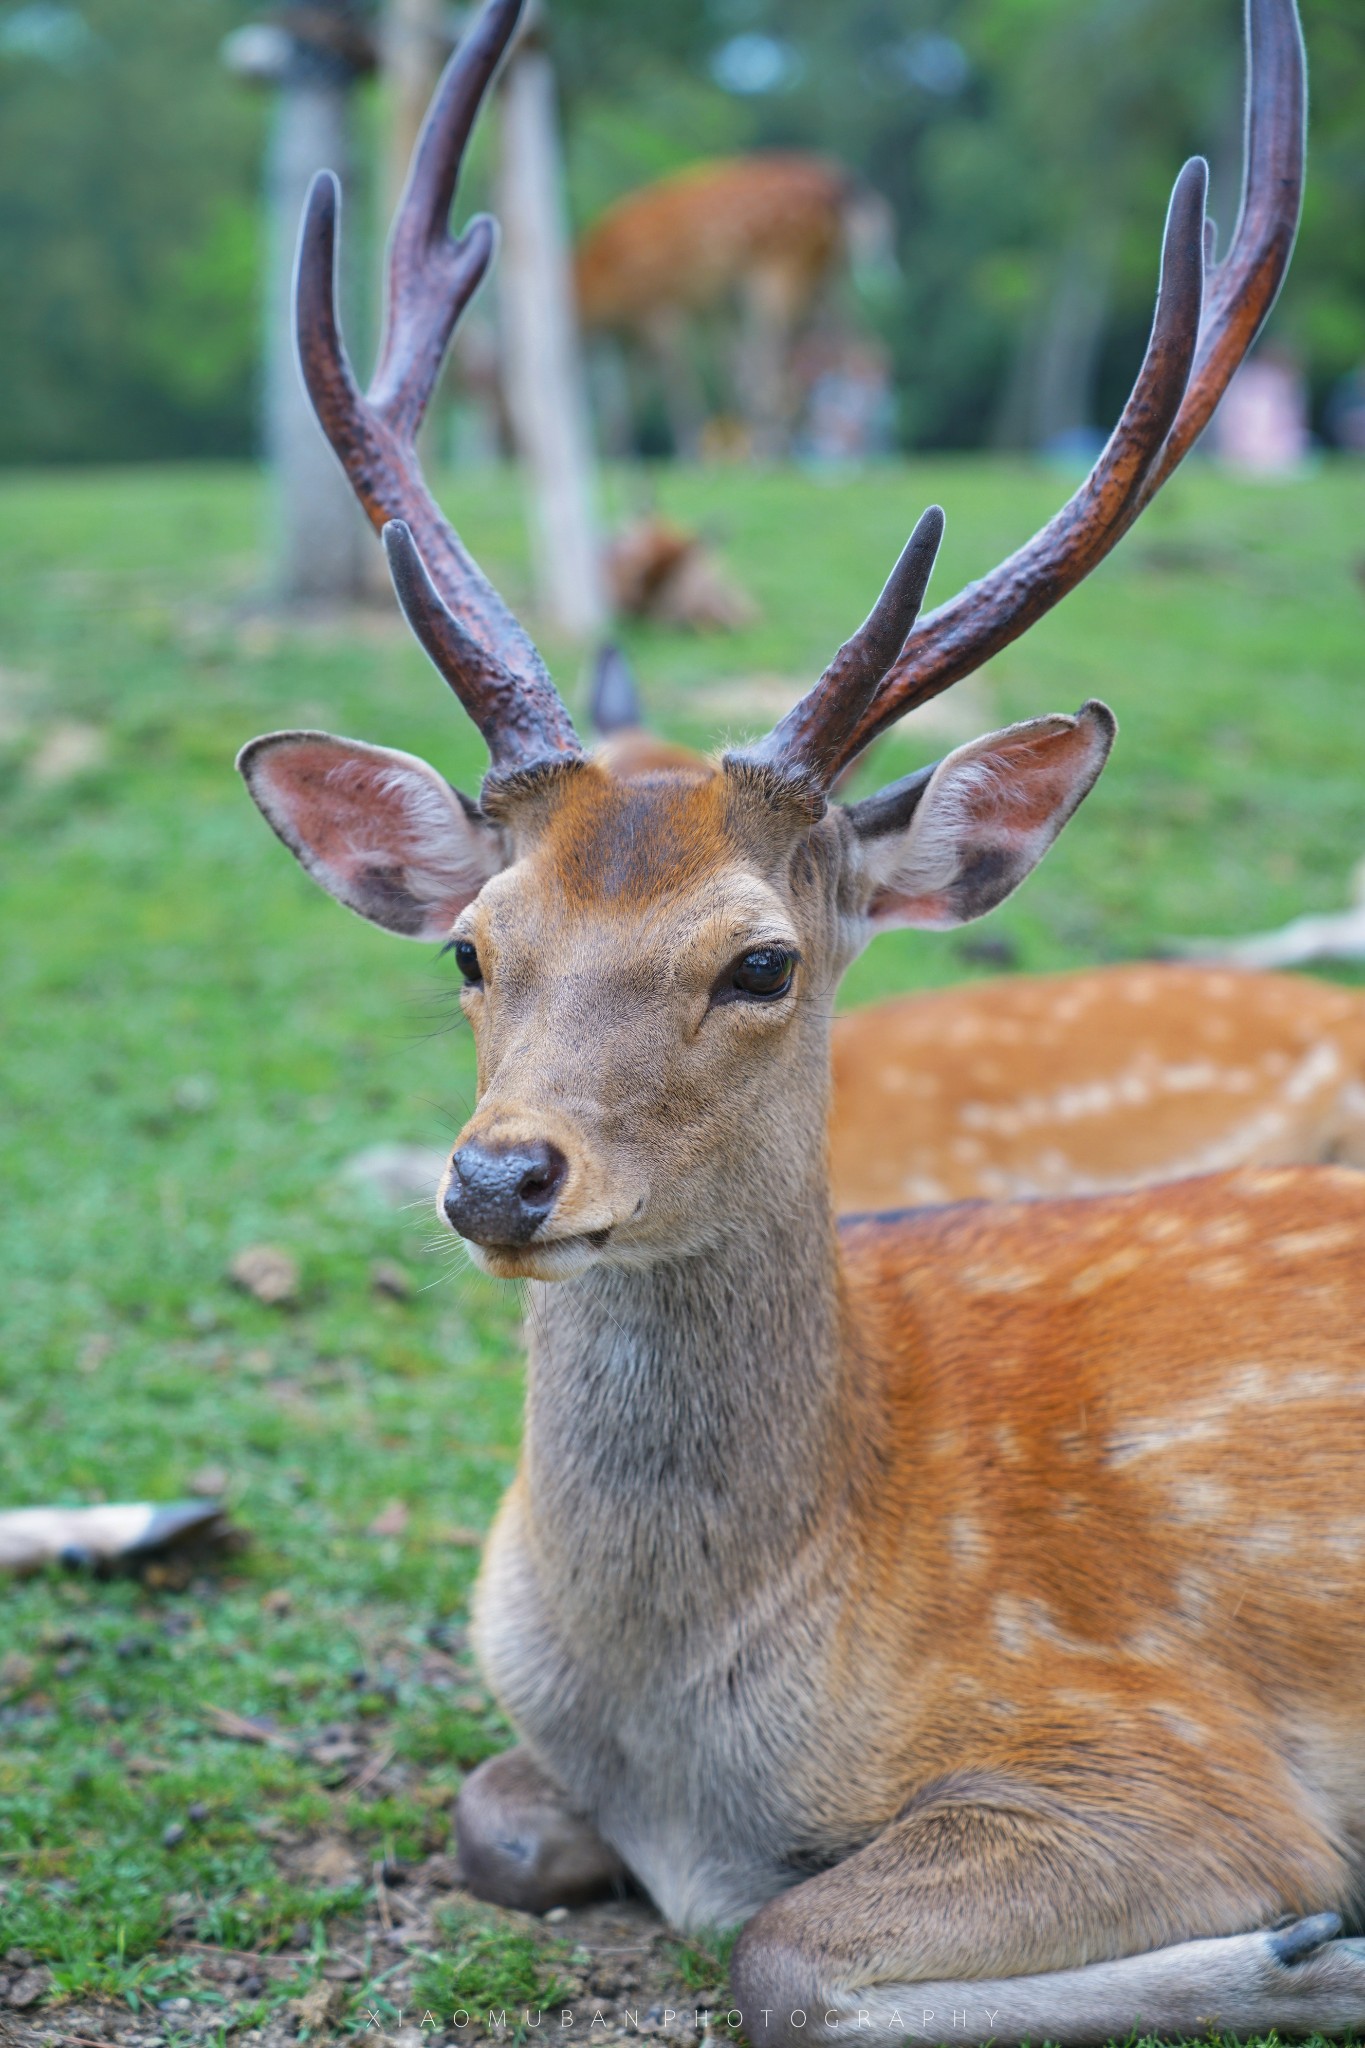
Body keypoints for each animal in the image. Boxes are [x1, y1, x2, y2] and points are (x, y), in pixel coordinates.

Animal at [240, 8, 1365, 2039]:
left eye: (759, 961)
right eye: (472, 947)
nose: (501, 1178)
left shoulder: (1169, 1749)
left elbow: (781, 1949)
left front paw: (1305, 1945)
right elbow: (497, 1822)